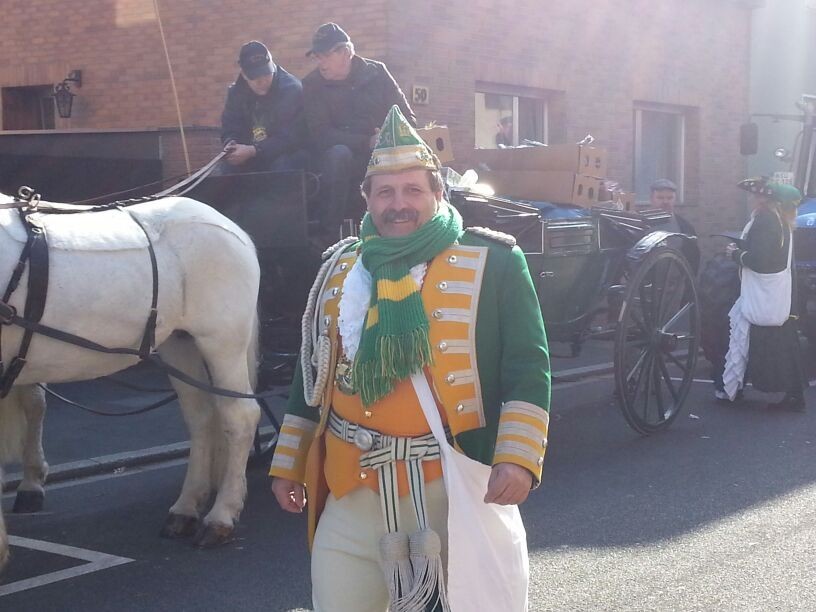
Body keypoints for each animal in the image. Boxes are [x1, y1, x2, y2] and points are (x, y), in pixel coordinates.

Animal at [0, 192, 261, 563]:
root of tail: (229, 226)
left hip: (222, 341)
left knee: (239, 418)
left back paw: (221, 517)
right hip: (179, 344)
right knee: (201, 419)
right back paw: (185, 509)